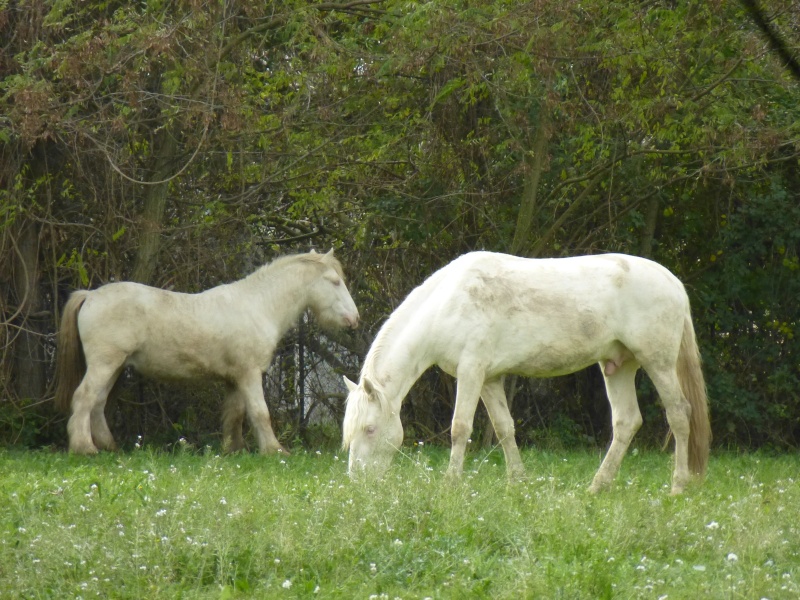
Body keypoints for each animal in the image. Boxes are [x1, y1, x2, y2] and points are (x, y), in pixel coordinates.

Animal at [54, 250, 358, 454]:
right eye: (334, 281)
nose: (354, 318)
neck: (258, 305)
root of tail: (90, 295)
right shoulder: (249, 375)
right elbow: (260, 413)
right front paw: (274, 450)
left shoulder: (235, 379)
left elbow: (235, 415)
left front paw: (234, 449)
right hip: (104, 364)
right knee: (84, 398)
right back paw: (84, 448)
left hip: (114, 367)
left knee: (97, 403)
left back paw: (109, 446)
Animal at [340, 251, 708, 494]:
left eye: (370, 429)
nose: (357, 483)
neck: (447, 304)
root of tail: (673, 281)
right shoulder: (489, 379)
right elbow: (505, 429)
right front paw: (518, 481)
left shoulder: (471, 370)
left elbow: (460, 428)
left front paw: (450, 484)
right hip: (618, 366)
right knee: (627, 421)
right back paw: (596, 486)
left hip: (658, 362)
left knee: (679, 414)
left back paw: (677, 486)